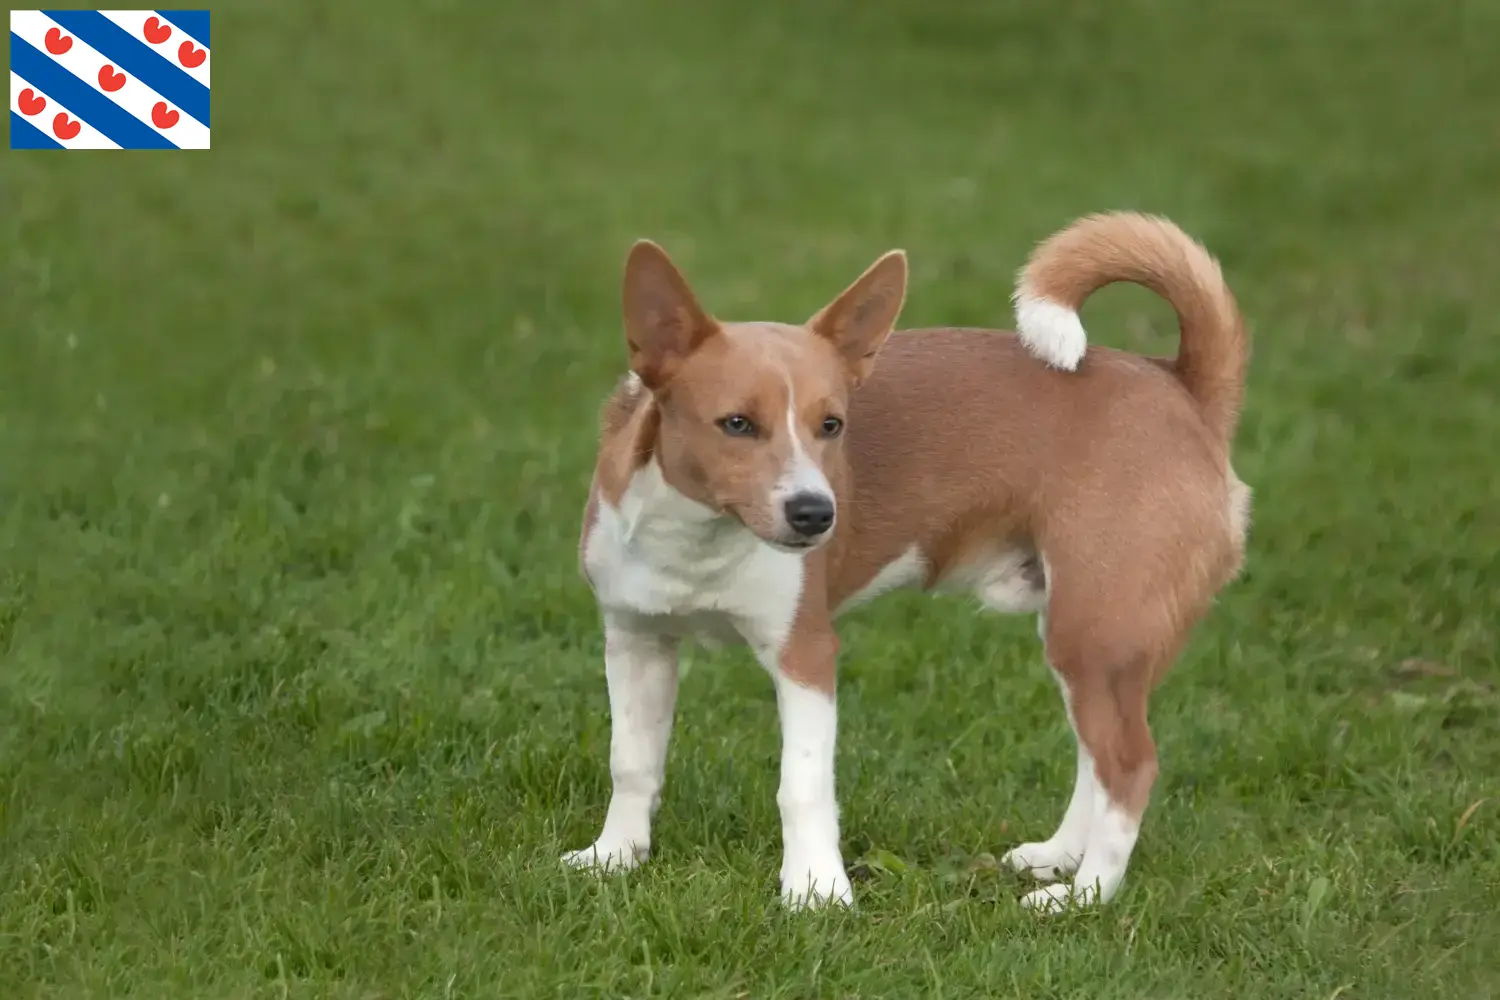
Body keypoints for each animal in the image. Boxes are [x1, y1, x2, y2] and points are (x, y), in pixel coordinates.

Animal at [558, 212, 1248, 917]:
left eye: (832, 425)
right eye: (737, 424)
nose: (815, 514)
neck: (702, 541)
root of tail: (1182, 387)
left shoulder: (805, 655)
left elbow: (802, 786)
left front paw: (815, 890)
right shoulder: (637, 641)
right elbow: (632, 762)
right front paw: (615, 857)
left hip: (1097, 634)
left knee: (1129, 768)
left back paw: (1082, 897)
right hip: (1084, 645)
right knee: (1096, 759)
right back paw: (1058, 858)